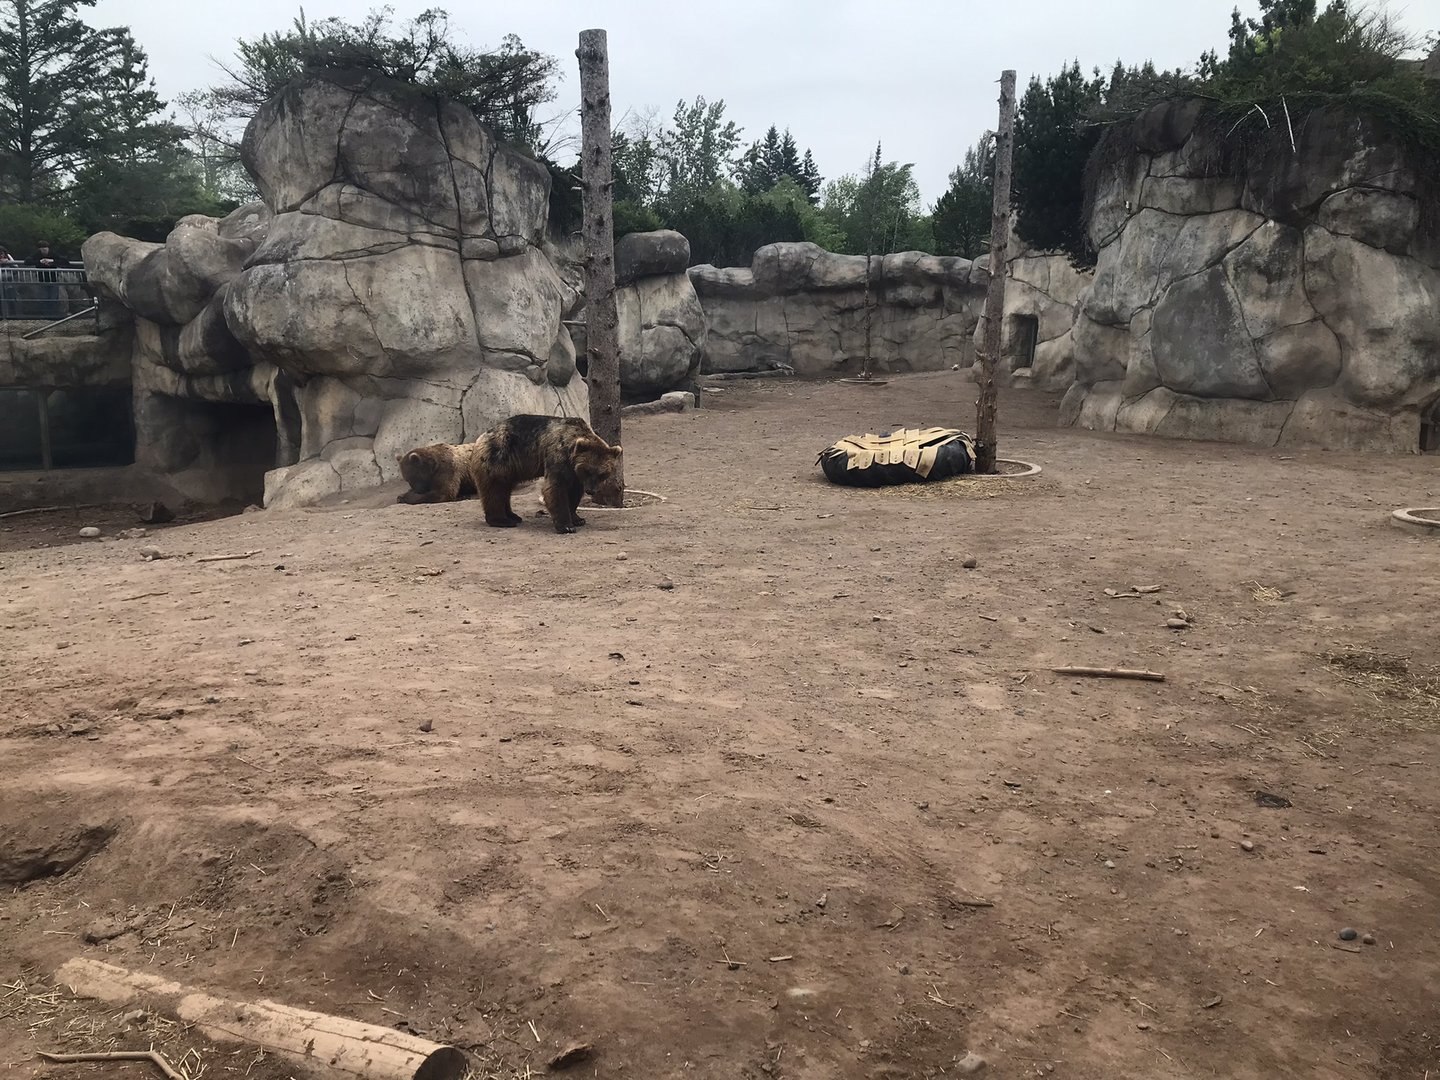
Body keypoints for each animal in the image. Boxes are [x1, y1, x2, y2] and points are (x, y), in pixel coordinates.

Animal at [472, 415, 624, 534]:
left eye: (602, 474)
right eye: (588, 470)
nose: (591, 490)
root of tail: (481, 436)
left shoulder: (575, 474)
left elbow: (574, 492)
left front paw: (578, 519)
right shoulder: (558, 457)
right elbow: (555, 488)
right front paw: (566, 526)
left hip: (510, 468)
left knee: (505, 489)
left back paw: (513, 516)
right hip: (499, 457)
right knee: (495, 489)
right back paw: (502, 520)